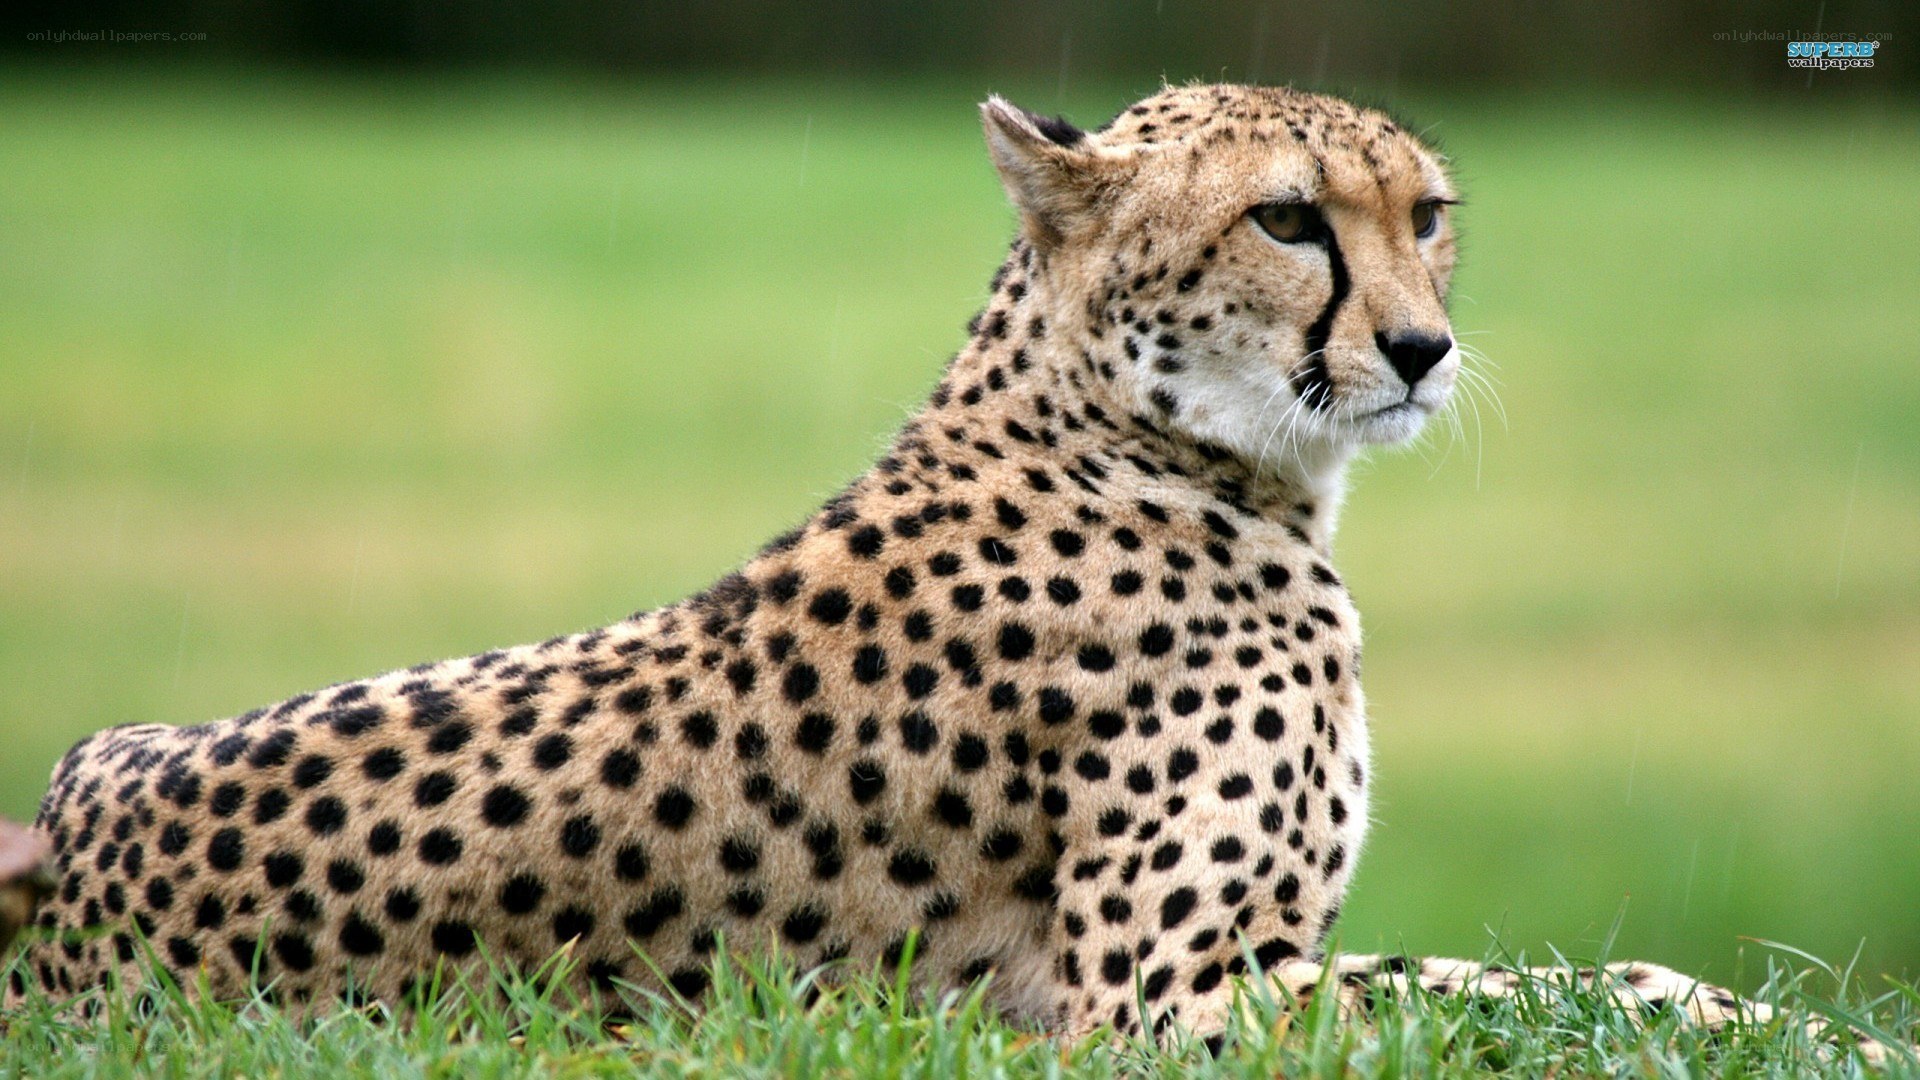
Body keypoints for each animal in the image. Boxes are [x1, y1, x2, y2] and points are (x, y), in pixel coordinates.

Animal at [0, 82, 1899, 1064]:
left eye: (1424, 215)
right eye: (1290, 220)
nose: (1424, 350)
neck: (1162, 446)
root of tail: (68, 855)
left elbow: (1570, 977)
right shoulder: (1154, 1000)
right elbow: (1549, 987)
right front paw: (1833, 1037)